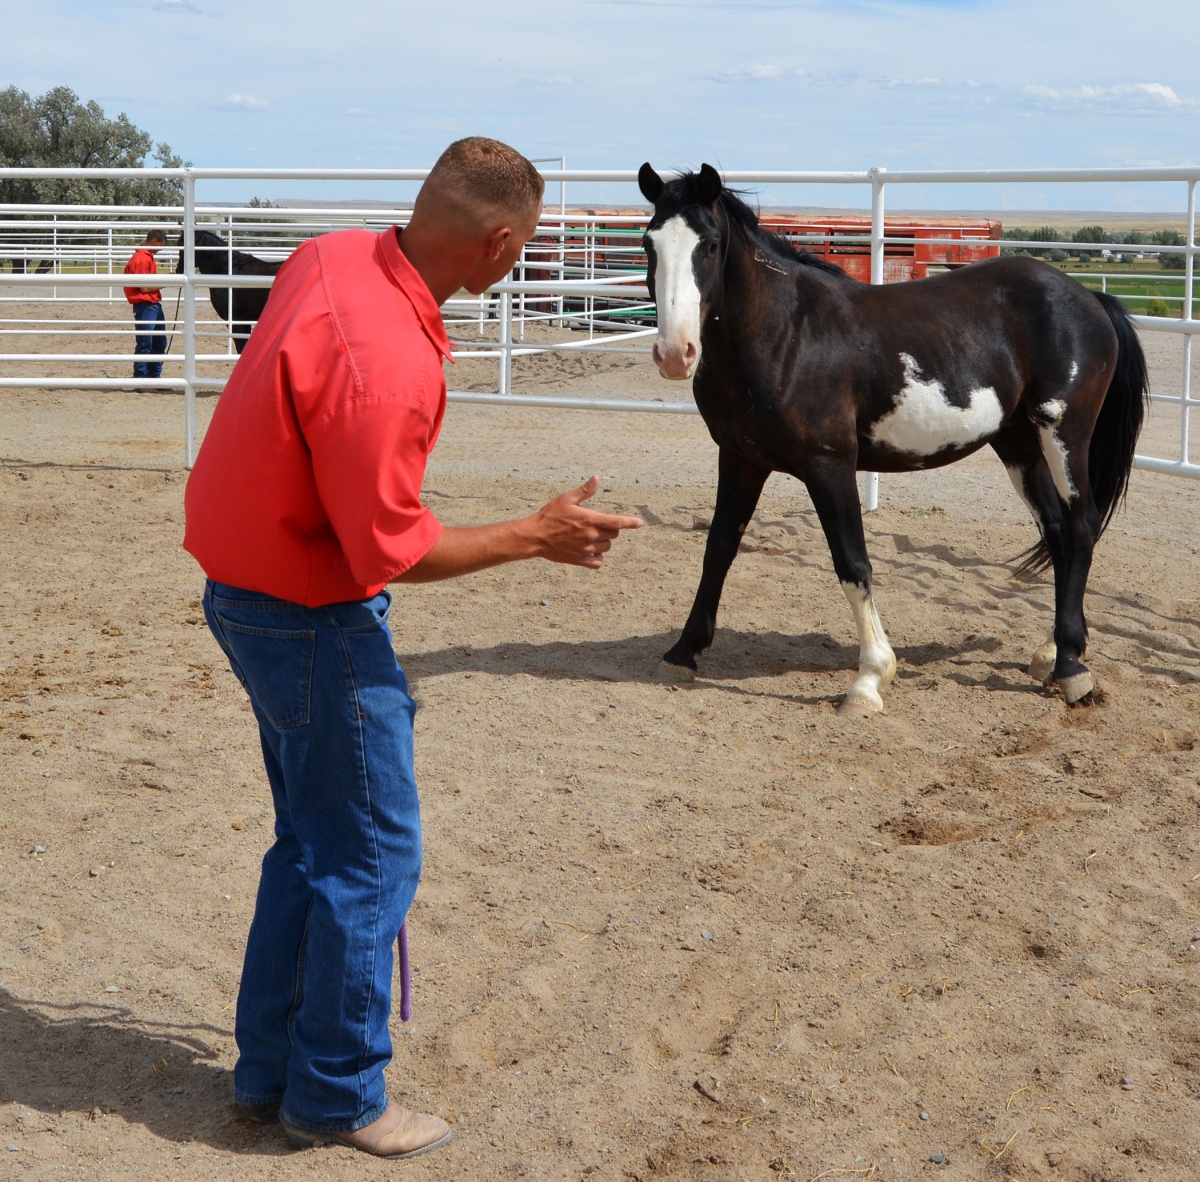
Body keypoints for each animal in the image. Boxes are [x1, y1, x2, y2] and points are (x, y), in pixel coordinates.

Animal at [643, 162, 1147, 715]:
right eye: (649, 242)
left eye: (710, 244)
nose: (675, 353)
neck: (786, 336)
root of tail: (1089, 298)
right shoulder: (739, 459)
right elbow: (718, 548)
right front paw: (683, 652)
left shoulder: (829, 465)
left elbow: (852, 563)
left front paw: (869, 679)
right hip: (1018, 443)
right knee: (1057, 532)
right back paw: (1051, 654)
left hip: (1063, 433)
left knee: (1080, 529)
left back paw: (1073, 669)